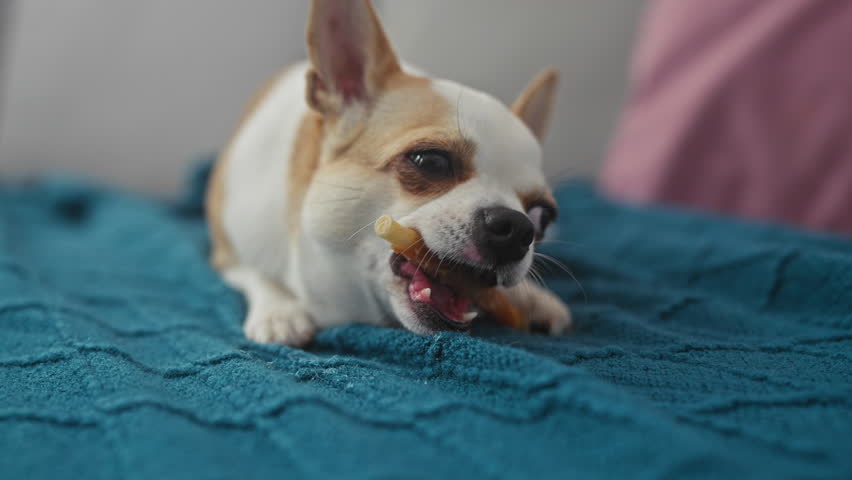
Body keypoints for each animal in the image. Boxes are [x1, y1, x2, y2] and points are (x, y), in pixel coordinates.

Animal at [203, 0, 568, 346]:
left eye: (542, 216)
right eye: (431, 162)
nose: (518, 227)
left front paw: (530, 298)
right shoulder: (225, 252)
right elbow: (253, 273)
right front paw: (280, 311)